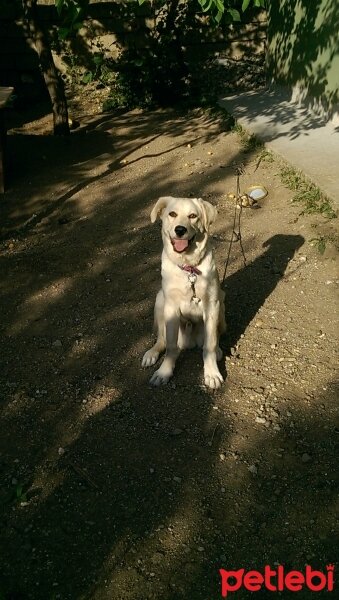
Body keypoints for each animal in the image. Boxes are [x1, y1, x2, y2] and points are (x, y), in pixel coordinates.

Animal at [142, 197, 227, 390]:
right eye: (172, 214)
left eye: (193, 216)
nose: (180, 230)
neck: (189, 267)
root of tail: (190, 342)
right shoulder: (171, 307)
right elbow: (171, 346)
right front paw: (164, 372)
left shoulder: (212, 304)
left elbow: (209, 345)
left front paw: (212, 373)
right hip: (160, 300)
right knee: (162, 340)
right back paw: (151, 353)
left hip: (221, 303)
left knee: (216, 337)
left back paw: (219, 350)